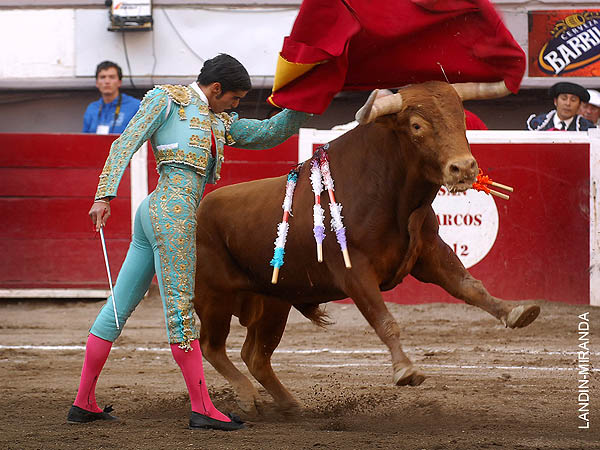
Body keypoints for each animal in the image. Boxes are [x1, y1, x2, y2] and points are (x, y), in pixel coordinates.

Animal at [192, 81, 540, 414]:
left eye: (462, 118)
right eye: (416, 126)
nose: (464, 168)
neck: (388, 192)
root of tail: (198, 208)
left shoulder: (429, 252)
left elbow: (469, 286)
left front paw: (516, 312)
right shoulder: (354, 271)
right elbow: (384, 320)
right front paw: (405, 370)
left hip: (275, 300)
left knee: (256, 355)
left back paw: (290, 405)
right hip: (215, 296)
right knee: (211, 346)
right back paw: (246, 397)